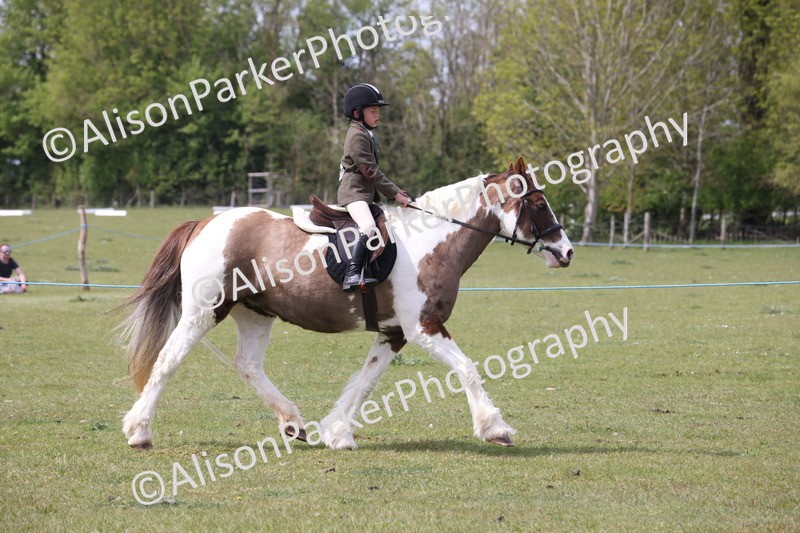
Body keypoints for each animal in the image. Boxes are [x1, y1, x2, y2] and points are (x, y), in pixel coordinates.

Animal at [117, 157, 573, 450]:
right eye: (538, 204)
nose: (566, 252)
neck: (432, 242)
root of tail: (206, 222)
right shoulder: (424, 328)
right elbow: (467, 369)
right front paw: (495, 428)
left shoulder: (394, 333)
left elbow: (365, 381)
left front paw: (337, 432)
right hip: (203, 312)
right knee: (168, 361)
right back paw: (139, 432)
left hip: (255, 314)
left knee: (247, 365)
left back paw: (293, 423)